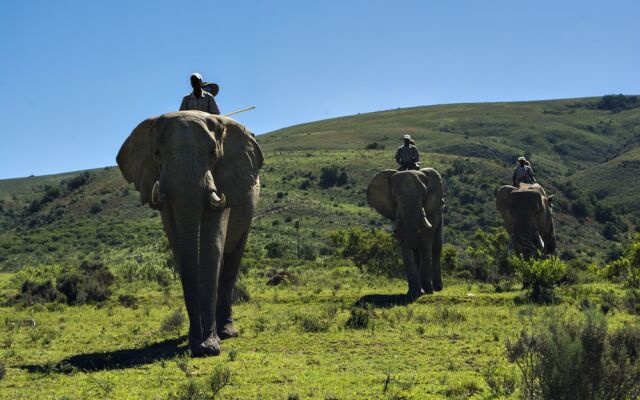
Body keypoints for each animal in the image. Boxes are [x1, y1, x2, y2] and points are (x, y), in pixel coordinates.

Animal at [117, 110, 262, 356]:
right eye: (157, 154)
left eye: (213, 153)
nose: (200, 345)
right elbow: (180, 249)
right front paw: (198, 342)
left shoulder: (225, 182)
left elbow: (212, 247)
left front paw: (210, 345)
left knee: (231, 261)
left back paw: (227, 332)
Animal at [364, 167, 444, 298]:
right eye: (395, 197)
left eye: (424, 194)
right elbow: (406, 245)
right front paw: (414, 293)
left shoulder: (430, 211)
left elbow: (426, 242)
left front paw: (428, 292)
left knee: (437, 246)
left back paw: (437, 288)